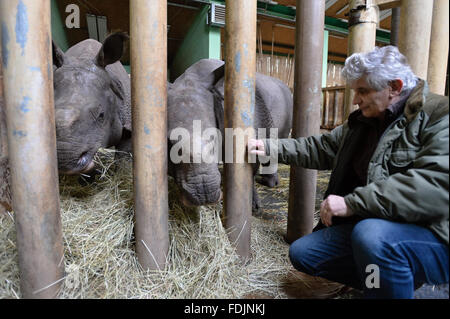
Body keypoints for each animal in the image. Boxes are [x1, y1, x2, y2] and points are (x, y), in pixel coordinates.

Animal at [167, 59, 294, 210]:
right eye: (170, 144)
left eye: (214, 137)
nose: (204, 194)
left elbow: (249, 171)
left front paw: (252, 205)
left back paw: (270, 183)